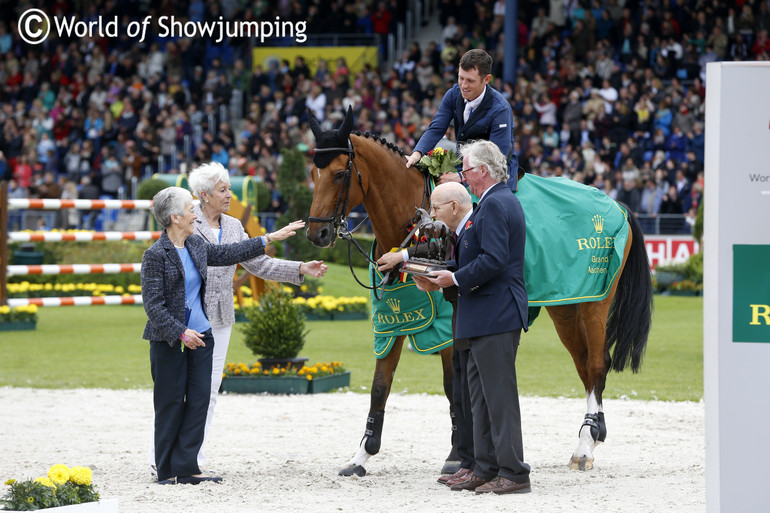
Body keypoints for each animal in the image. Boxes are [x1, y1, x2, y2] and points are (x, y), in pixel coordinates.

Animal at [304, 108, 652, 476]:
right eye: (313, 172)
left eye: (340, 173)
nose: (317, 233)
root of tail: (615, 204)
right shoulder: (392, 324)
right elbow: (379, 387)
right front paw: (361, 456)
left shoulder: (447, 328)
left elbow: (452, 387)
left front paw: (456, 454)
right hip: (566, 307)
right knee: (584, 365)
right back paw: (595, 432)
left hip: (594, 304)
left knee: (597, 364)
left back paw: (585, 445)